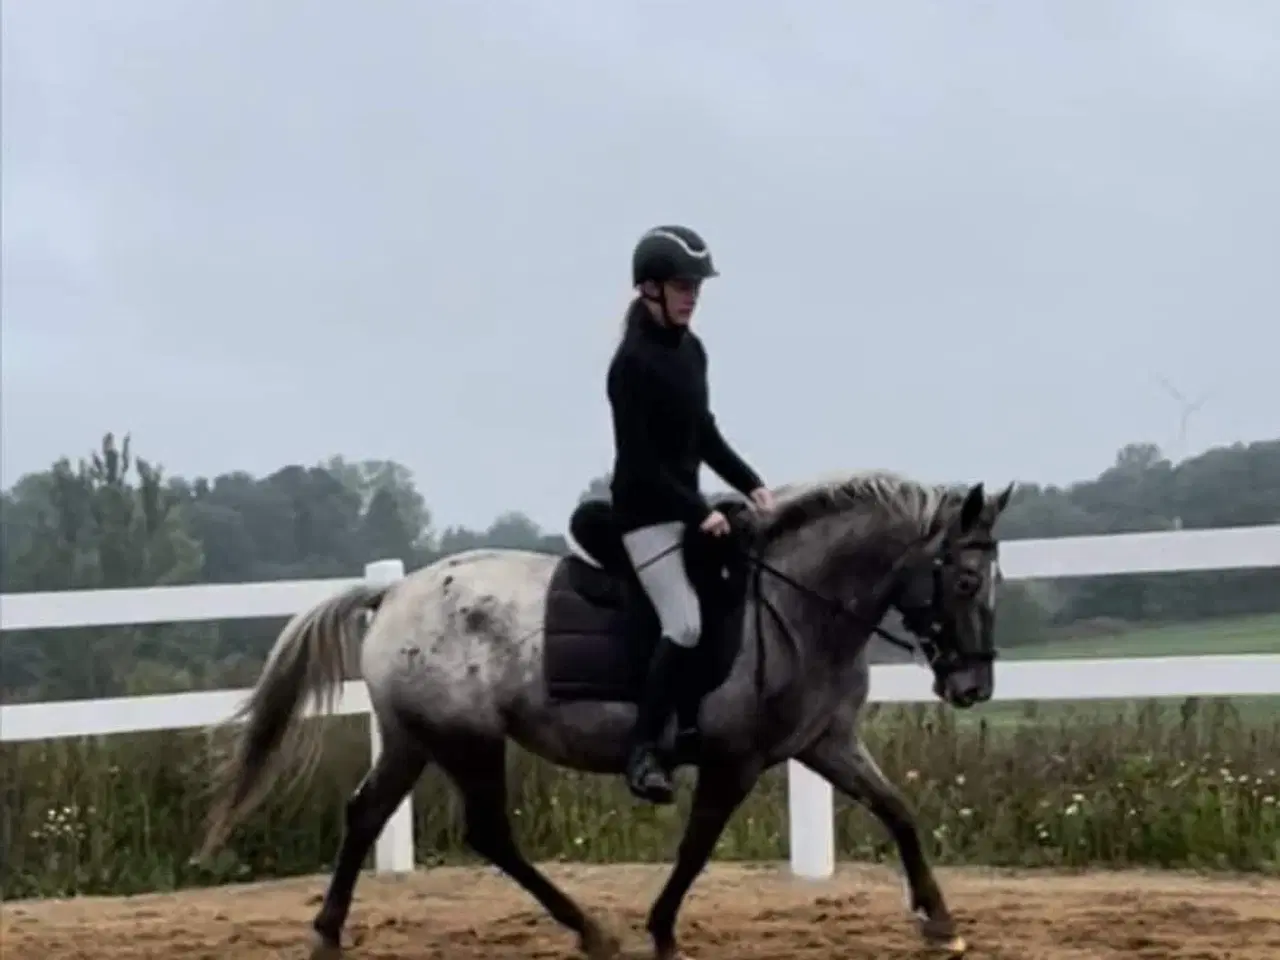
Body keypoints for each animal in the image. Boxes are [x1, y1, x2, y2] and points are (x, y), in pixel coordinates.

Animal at [200, 468, 1013, 960]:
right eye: (966, 579)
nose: (973, 686)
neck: (793, 604)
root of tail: (394, 593)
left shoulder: (826, 744)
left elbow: (899, 811)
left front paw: (940, 922)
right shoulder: (735, 761)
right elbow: (695, 848)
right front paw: (661, 930)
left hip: (413, 739)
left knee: (368, 814)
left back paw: (329, 933)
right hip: (466, 741)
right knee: (487, 833)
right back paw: (593, 930)